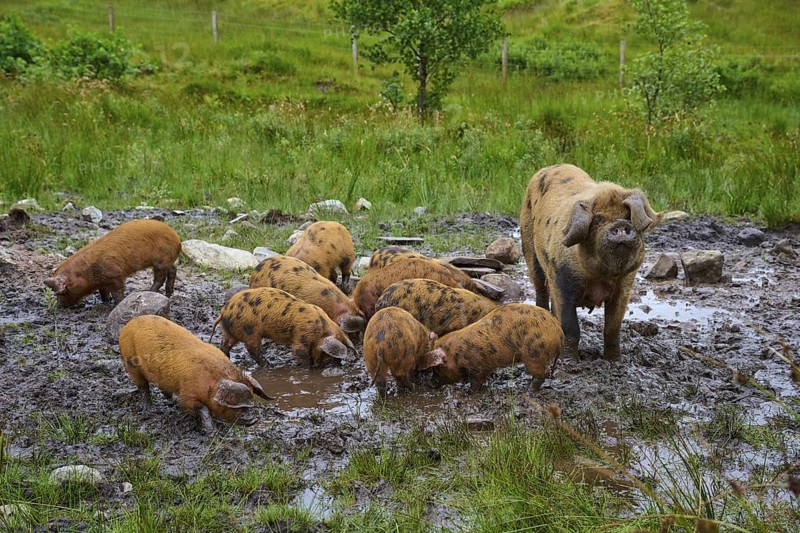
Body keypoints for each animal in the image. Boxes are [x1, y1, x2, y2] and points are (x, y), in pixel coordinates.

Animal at [44, 219, 181, 307]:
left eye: (61, 292)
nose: (59, 306)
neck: (88, 274)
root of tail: (177, 239)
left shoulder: (116, 274)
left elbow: (117, 292)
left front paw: (117, 303)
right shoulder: (103, 282)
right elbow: (103, 292)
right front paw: (106, 301)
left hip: (161, 261)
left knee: (161, 277)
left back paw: (147, 291)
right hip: (166, 261)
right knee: (173, 270)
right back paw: (167, 294)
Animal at [119, 315, 272, 433]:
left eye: (251, 399)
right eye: (235, 403)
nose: (254, 419)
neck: (211, 383)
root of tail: (128, 325)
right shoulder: (188, 394)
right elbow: (202, 409)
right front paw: (211, 431)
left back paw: (168, 399)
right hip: (130, 362)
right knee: (143, 386)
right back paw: (148, 409)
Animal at [209, 287, 356, 367]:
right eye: (328, 356)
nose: (335, 366)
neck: (321, 328)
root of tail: (224, 312)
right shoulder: (302, 335)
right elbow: (299, 352)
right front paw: (309, 368)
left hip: (230, 332)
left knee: (225, 344)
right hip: (249, 330)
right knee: (253, 350)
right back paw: (269, 365)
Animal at [431, 304, 564, 391]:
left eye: (438, 368)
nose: (430, 384)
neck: (457, 352)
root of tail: (558, 330)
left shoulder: (476, 366)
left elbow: (475, 381)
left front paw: (471, 392)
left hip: (535, 353)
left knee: (540, 375)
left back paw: (528, 389)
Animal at [520, 164, 661, 361]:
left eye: (628, 216)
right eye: (598, 221)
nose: (620, 225)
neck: (600, 277)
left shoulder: (624, 287)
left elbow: (613, 327)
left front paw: (615, 360)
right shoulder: (561, 280)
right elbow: (571, 327)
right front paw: (571, 361)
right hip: (529, 250)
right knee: (541, 291)